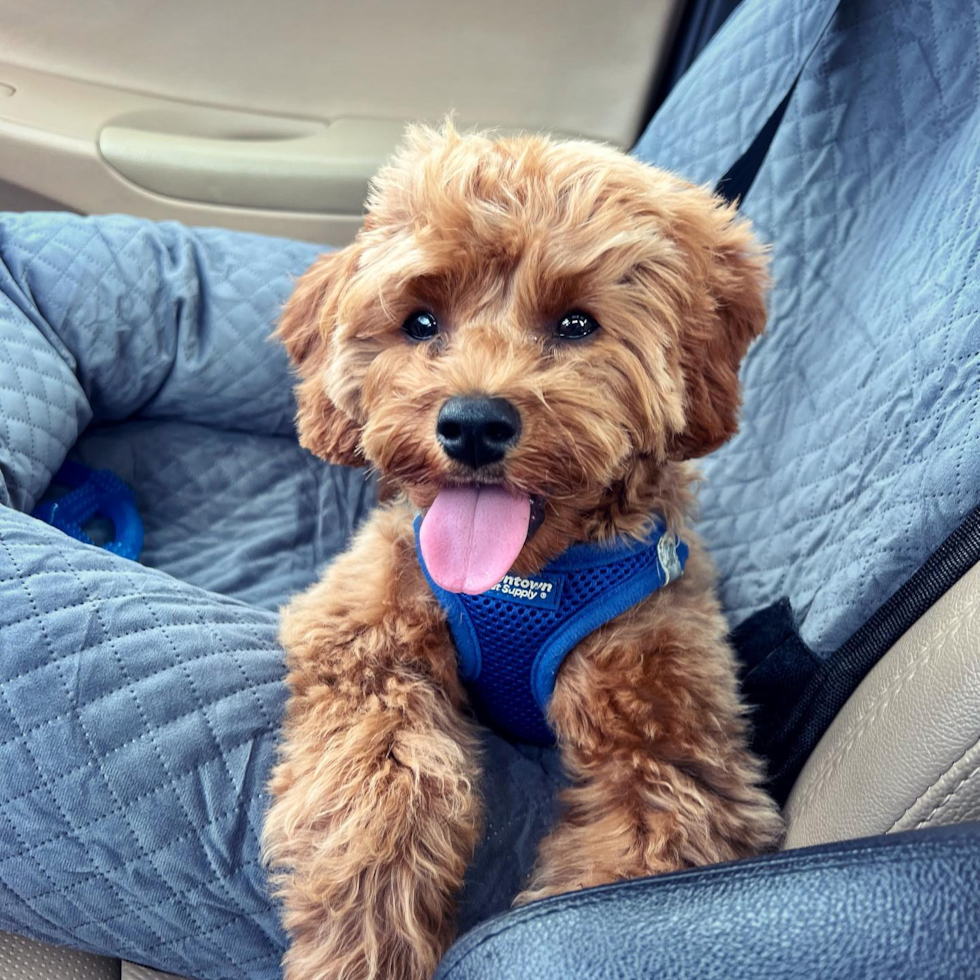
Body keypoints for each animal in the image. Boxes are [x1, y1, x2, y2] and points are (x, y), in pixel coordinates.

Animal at [260, 122, 780, 980]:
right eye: (420, 321)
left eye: (576, 323)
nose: (473, 424)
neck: (525, 581)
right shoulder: (363, 635)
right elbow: (382, 773)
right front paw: (366, 936)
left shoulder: (674, 754)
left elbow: (622, 870)